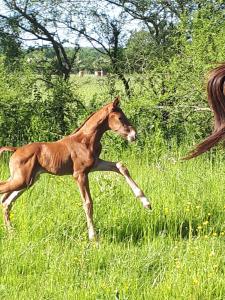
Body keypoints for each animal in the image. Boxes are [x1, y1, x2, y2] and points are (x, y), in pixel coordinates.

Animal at [0, 97, 151, 240]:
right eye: (120, 117)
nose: (134, 135)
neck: (85, 141)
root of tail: (16, 150)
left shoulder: (95, 165)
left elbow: (120, 166)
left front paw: (146, 202)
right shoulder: (79, 174)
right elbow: (88, 203)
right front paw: (93, 237)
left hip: (28, 180)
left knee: (6, 201)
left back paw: (12, 233)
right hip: (22, 180)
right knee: (4, 194)